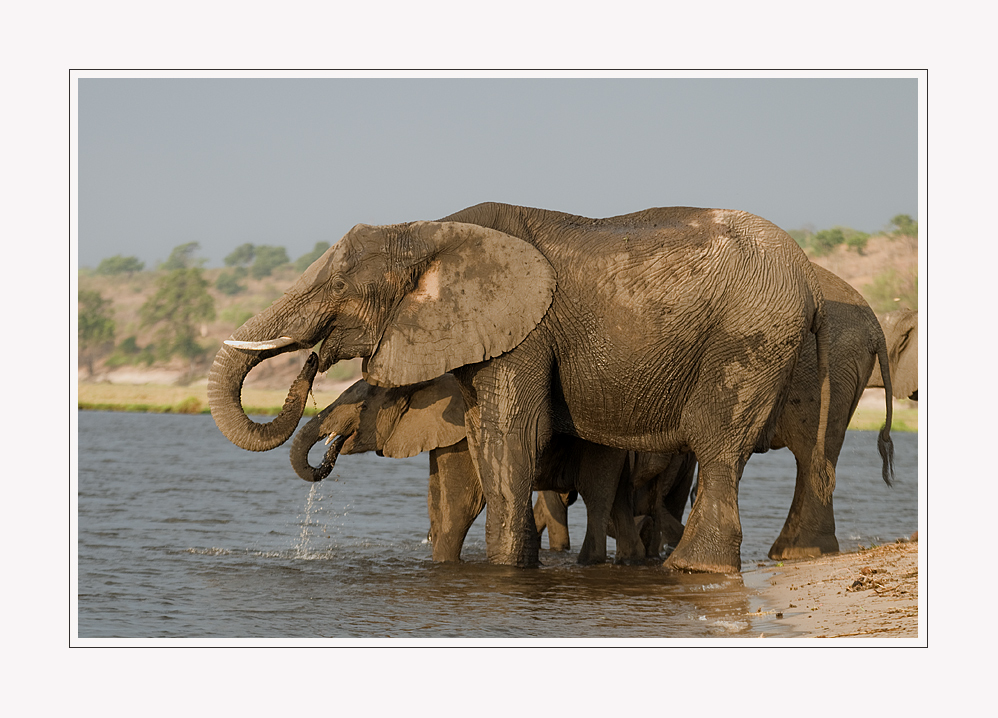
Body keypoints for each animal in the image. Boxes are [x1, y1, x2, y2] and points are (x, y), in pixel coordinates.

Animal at [207, 202, 832, 572]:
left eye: (338, 285)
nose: (313, 360)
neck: (428, 229)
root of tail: (811, 281)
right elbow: (480, 444)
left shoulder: (525, 332)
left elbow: (510, 438)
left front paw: (507, 570)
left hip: (748, 336)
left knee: (717, 442)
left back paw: (694, 569)